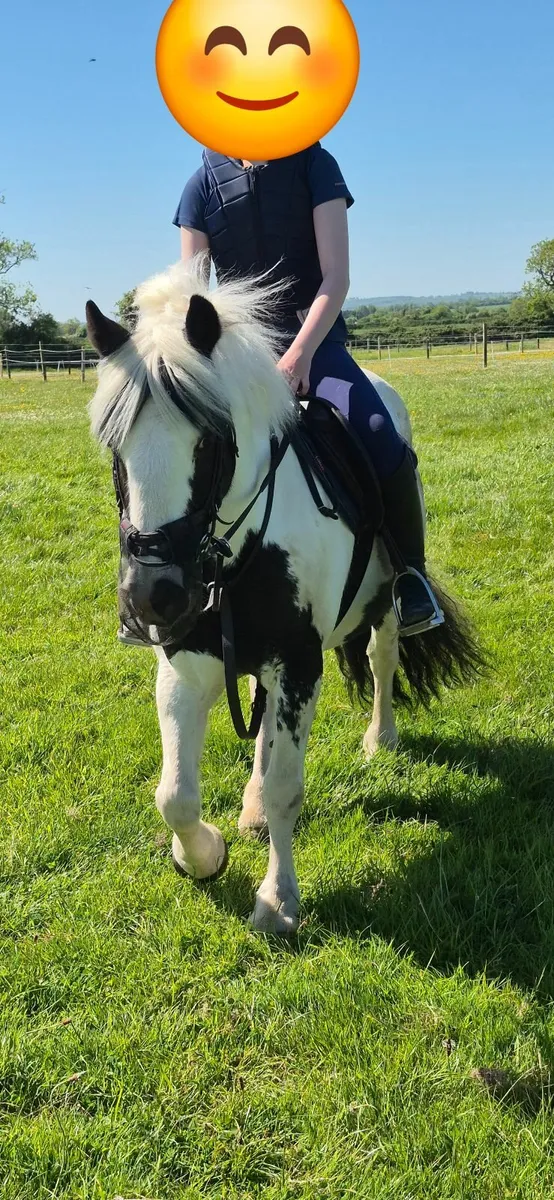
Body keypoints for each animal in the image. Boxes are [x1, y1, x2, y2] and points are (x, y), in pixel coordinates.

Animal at [86, 258, 484, 934]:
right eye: (116, 445)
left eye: (210, 441)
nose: (151, 599)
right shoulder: (188, 664)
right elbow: (175, 794)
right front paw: (204, 857)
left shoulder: (299, 664)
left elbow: (285, 787)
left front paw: (277, 901)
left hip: (384, 605)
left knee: (380, 661)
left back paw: (380, 739)